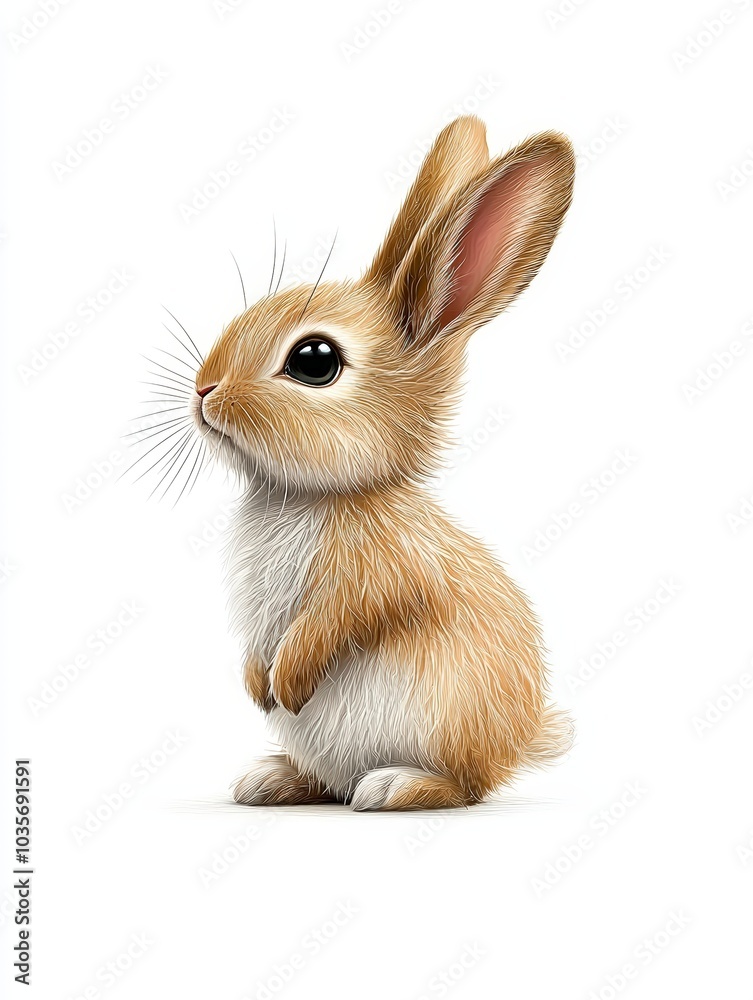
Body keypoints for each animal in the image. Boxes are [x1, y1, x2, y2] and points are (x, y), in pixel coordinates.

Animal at [191, 115, 575, 810]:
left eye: (314, 361)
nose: (204, 389)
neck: (306, 494)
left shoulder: (375, 576)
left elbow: (331, 625)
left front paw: (286, 684)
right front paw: (258, 686)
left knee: (463, 787)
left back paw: (394, 787)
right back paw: (270, 779)